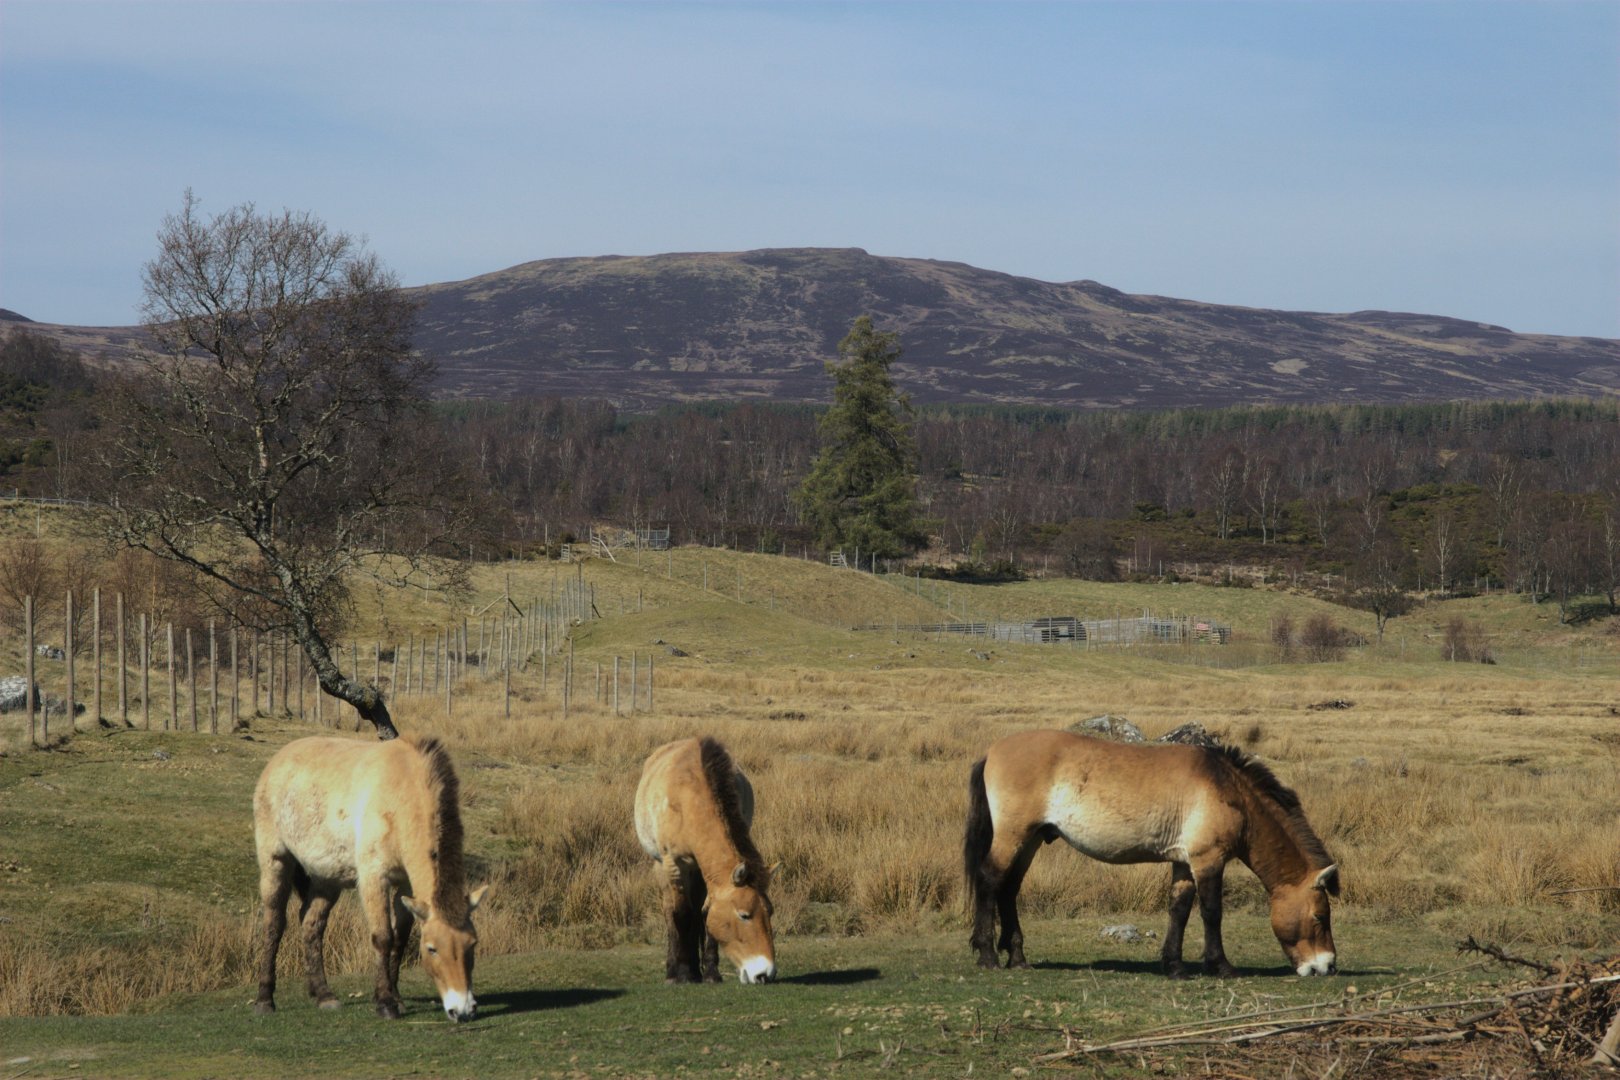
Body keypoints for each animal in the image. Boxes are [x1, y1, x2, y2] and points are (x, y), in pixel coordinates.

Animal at [252, 733, 489, 1020]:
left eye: (472, 944)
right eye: (432, 948)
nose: (463, 1010)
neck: (401, 795)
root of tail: (277, 761)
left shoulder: (405, 885)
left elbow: (399, 937)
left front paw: (396, 997)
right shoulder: (374, 879)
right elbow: (383, 937)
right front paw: (386, 1003)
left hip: (327, 878)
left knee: (311, 924)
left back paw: (324, 995)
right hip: (276, 861)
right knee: (274, 924)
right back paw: (265, 999)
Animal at [635, 736, 777, 984]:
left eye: (769, 912)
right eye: (744, 915)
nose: (765, 974)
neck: (690, 799)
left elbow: (705, 913)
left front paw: (710, 972)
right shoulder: (675, 864)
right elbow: (681, 914)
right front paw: (683, 973)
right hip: (662, 867)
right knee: (670, 911)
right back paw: (674, 969)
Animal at [964, 729, 1339, 978]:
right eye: (1320, 916)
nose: (1327, 965)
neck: (1227, 788)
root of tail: (993, 752)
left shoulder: (1184, 864)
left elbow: (1179, 910)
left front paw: (1174, 966)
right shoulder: (1209, 860)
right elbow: (1212, 912)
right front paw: (1221, 966)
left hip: (1031, 839)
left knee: (1009, 889)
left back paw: (1017, 957)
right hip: (1013, 836)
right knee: (989, 880)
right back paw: (987, 956)